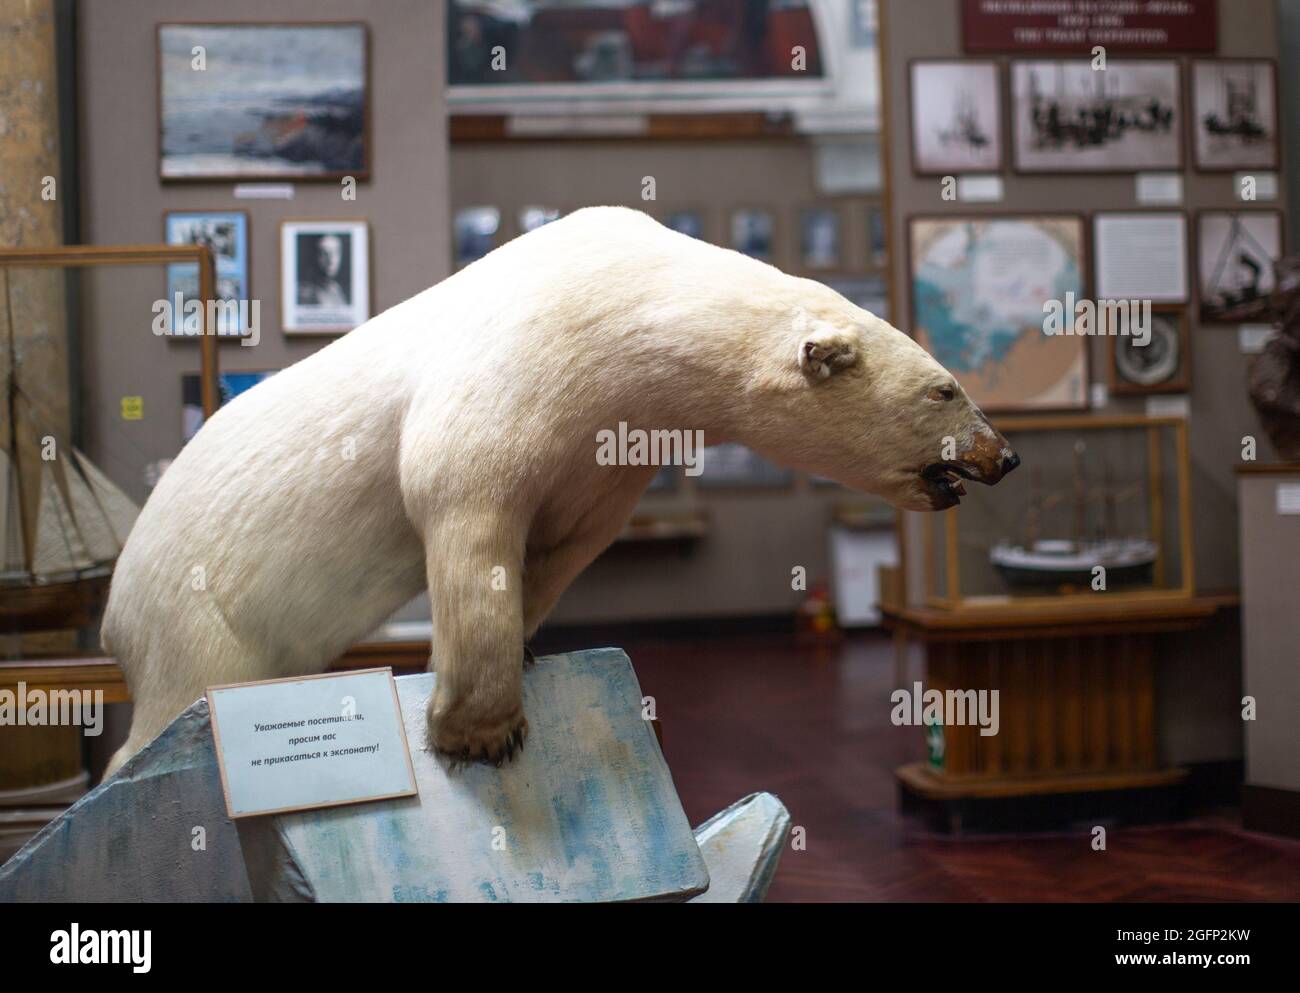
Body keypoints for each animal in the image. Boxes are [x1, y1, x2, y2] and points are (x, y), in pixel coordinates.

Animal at [101, 204, 1013, 774]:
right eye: (945, 389)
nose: (1002, 455)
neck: (629, 298)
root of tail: (113, 605)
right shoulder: (516, 368)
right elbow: (462, 502)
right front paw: (476, 732)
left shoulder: (609, 444)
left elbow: (567, 541)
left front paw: (523, 649)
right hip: (198, 605)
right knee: (177, 696)